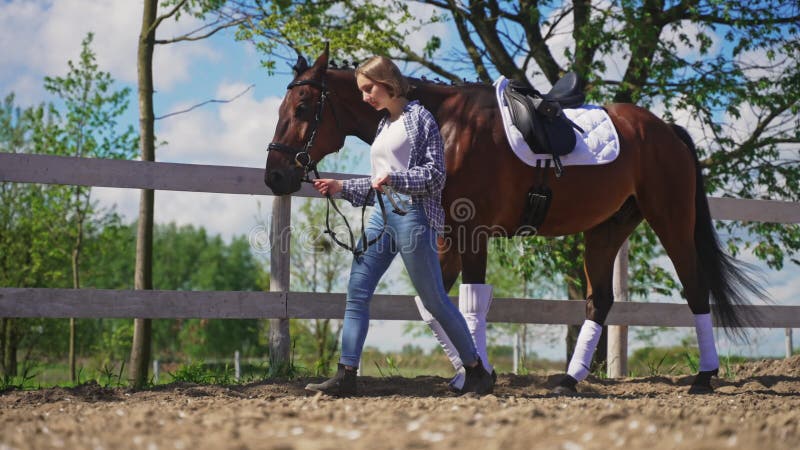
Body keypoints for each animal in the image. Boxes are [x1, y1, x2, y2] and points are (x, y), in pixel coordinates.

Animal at [262, 48, 764, 394]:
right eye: (281, 109)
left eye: (303, 109)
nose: (275, 176)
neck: (449, 126)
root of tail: (666, 130)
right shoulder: (446, 237)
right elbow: (431, 305)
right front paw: (467, 372)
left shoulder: (472, 232)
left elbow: (468, 303)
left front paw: (476, 376)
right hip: (606, 230)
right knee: (599, 302)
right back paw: (569, 381)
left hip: (671, 220)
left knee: (695, 289)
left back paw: (704, 377)